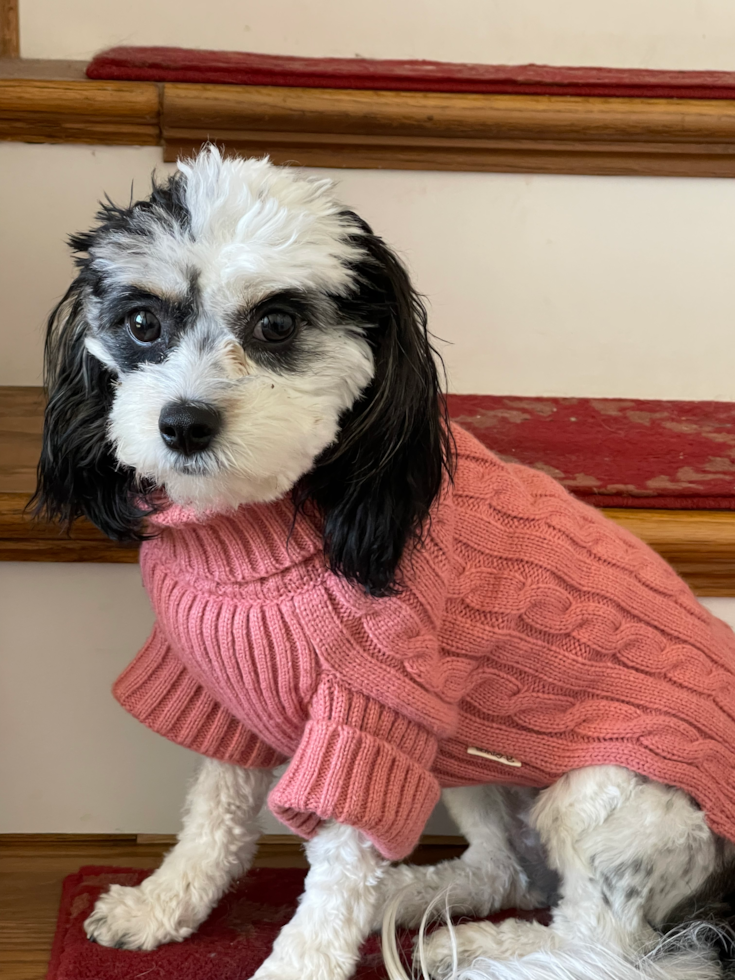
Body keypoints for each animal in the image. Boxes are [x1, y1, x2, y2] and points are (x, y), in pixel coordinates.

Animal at [34, 147, 735, 980]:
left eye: (277, 323)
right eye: (142, 323)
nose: (184, 423)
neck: (264, 524)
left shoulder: (371, 720)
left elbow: (337, 875)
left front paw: (297, 967)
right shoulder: (227, 693)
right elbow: (215, 818)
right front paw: (161, 903)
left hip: (609, 794)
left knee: (604, 947)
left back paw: (483, 947)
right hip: (470, 765)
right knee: (506, 871)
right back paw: (419, 905)